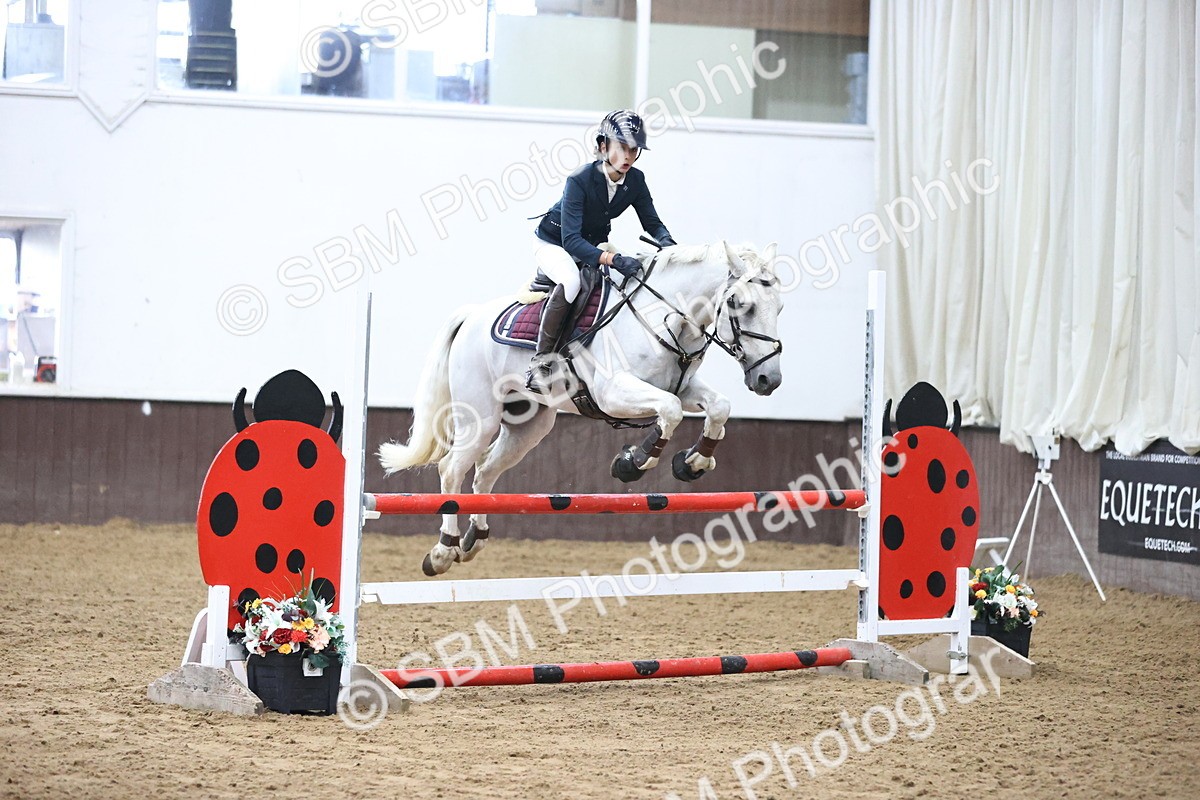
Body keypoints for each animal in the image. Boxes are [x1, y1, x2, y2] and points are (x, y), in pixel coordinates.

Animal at [379, 240, 785, 576]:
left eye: (779, 307)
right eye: (740, 305)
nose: (769, 379)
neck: (664, 317)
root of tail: (472, 316)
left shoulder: (682, 387)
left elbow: (718, 407)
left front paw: (693, 463)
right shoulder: (614, 392)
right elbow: (669, 411)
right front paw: (632, 463)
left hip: (529, 426)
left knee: (484, 472)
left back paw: (474, 538)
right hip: (480, 417)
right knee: (451, 471)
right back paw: (443, 552)